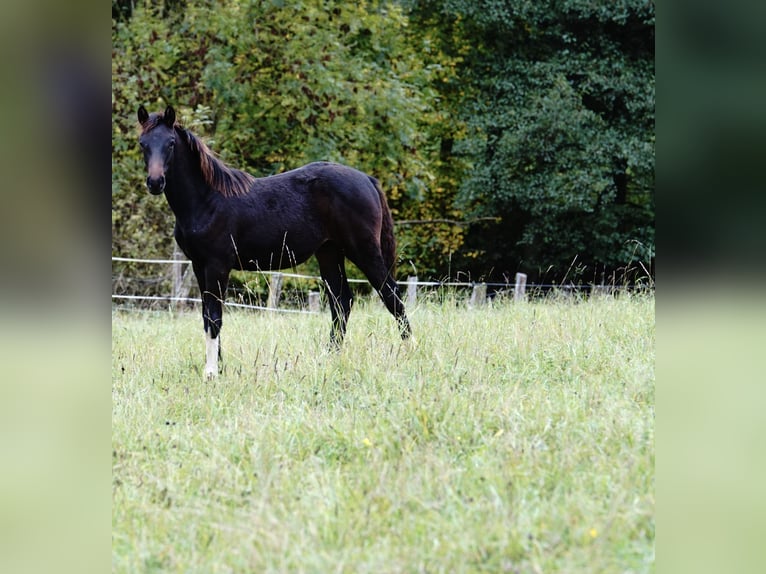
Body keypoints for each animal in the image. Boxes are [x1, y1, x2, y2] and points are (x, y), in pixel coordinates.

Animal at [137, 105, 412, 377]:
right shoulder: (198, 265)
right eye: (142, 143)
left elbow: (214, 316)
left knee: (391, 295)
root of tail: (368, 180)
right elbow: (207, 316)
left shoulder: (217, 265)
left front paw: (212, 372)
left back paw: (409, 351)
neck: (207, 200)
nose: (155, 182)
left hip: (363, 250)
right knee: (342, 302)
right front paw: (219, 367)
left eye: (171, 143)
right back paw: (330, 357)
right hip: (329, 252)